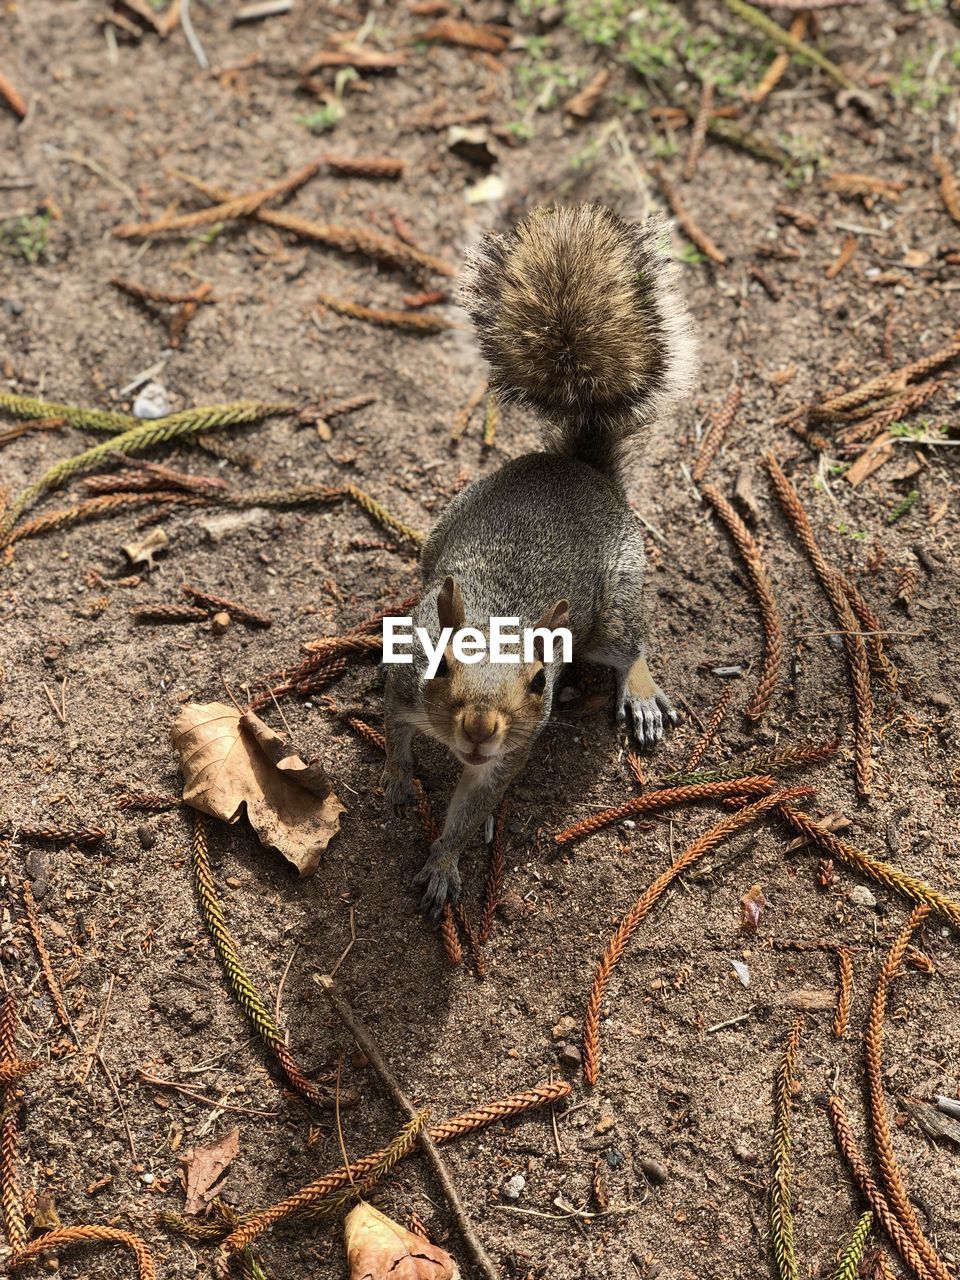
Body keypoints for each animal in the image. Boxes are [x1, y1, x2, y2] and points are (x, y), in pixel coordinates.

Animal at [384, 204, 701, 916]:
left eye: (538, 681)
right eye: (440, 663)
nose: (479, 728)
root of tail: (581, 470)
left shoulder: (510, 750)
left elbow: (473, 808)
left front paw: (444, 861)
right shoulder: (402, 683)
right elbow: (393, 732)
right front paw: (396, 776)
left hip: (613, 606)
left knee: (631, 645)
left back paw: (640, 696)